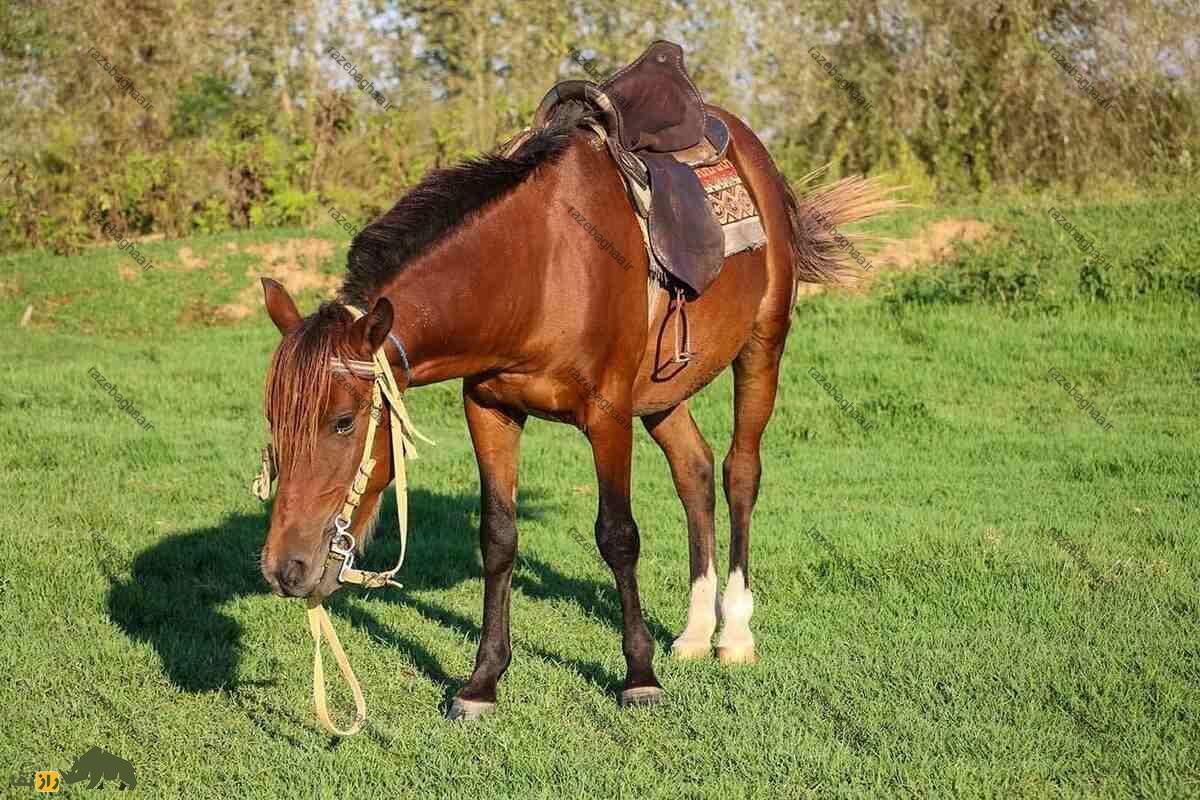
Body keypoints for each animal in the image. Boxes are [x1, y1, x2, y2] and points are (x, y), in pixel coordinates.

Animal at [255, 100, 892, 719]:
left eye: (343, 422)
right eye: (274, 425)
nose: (285, 570)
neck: (537, 272)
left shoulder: (607, 416)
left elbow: (618, 536)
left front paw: (640, 678)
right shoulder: (489, 410)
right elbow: (498, 538)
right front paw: (482, 682)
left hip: (762, 348)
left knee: (740, 473)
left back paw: (733, 633)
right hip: (662, 395)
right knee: (694, 471)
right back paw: (693, 632)